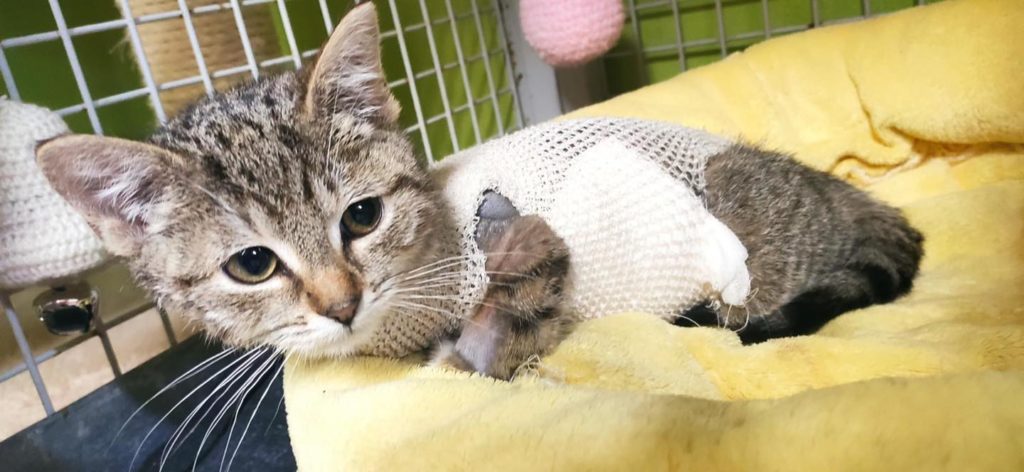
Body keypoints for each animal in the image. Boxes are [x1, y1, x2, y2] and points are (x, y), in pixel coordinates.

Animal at [36, 3, 922, 379]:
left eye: (363, 216)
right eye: (251, 265)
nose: (342, 304)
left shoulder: (535, 259)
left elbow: (508, 324)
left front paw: (472, 346)